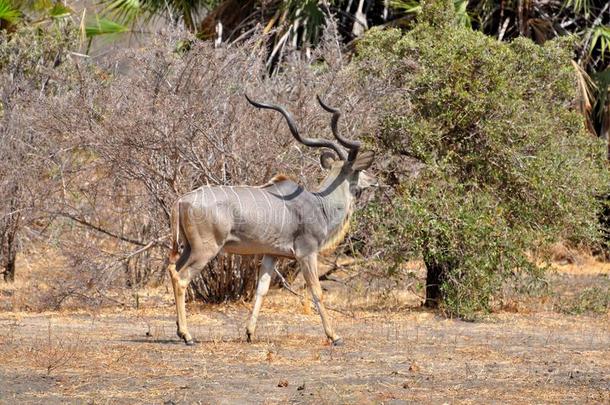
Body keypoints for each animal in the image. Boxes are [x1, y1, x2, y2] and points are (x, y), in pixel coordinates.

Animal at [166, 94, 376, 344]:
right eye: (359, 170)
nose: (374, 180)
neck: (320, 203)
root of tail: (181, 200)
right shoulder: (307, 253)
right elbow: (316, 291)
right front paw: (334, 336)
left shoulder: (271, 254)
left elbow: (261, 289)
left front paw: (249, 333)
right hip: (205, 249)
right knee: (181, 278)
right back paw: (187, 335)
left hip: (189, 247)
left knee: (172, 269)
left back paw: (180, 330)